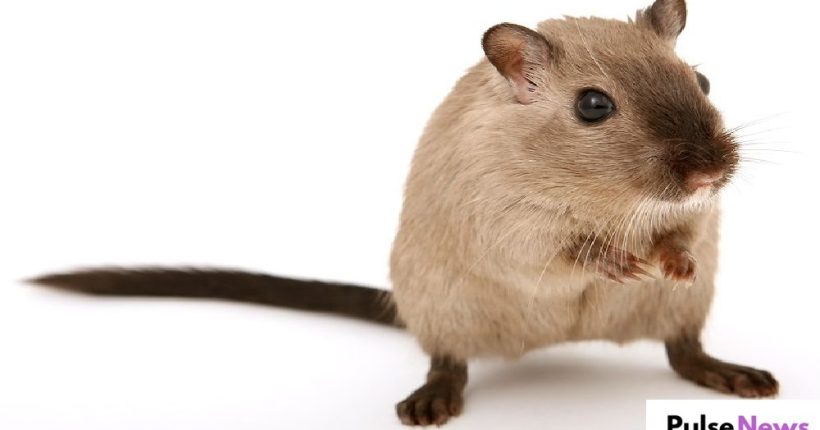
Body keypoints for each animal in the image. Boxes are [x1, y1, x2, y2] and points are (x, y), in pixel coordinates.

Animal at [31, 0, 778, 426]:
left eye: (702, 80)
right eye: (594, 106)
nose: (710, 172)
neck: (609, 198)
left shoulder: (693, 214)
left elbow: (685, 230)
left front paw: (674, 261)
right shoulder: (507, 224)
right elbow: (558, 253)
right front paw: (620, 262)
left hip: (683, 318)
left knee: (683, 351)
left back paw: (738, 376)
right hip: (441, 308)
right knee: (448, 359)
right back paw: (429, 403)